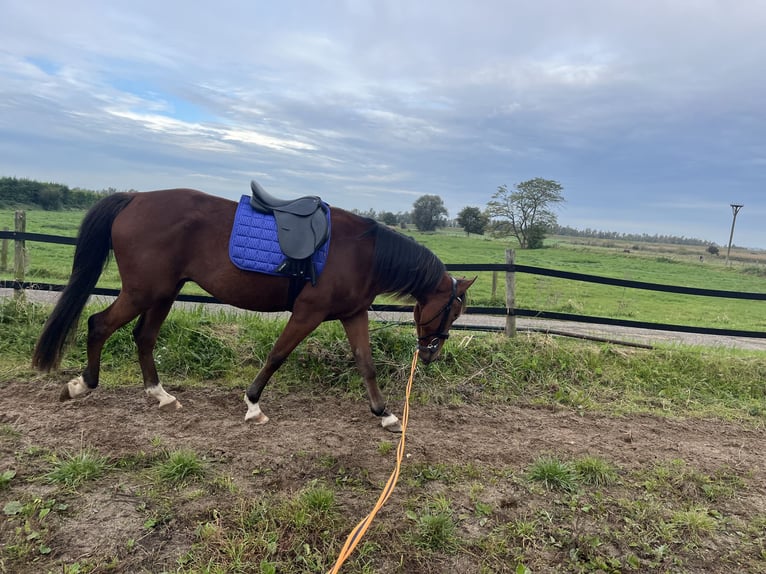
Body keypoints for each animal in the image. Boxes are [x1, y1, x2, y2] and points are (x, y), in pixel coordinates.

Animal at [33, 187, 476, 434]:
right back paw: (82, 384)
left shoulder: (353, 314)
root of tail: (135, 198)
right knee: (98, 325)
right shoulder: (308, 313)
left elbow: (365, 363)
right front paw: (253, 405)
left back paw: (161, 396)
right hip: (144, 292)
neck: (362, 253)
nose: (432, 354)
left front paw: (384, 415)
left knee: (143, 337)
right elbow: (278, 354)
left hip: (164, 293)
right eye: (452, 313)